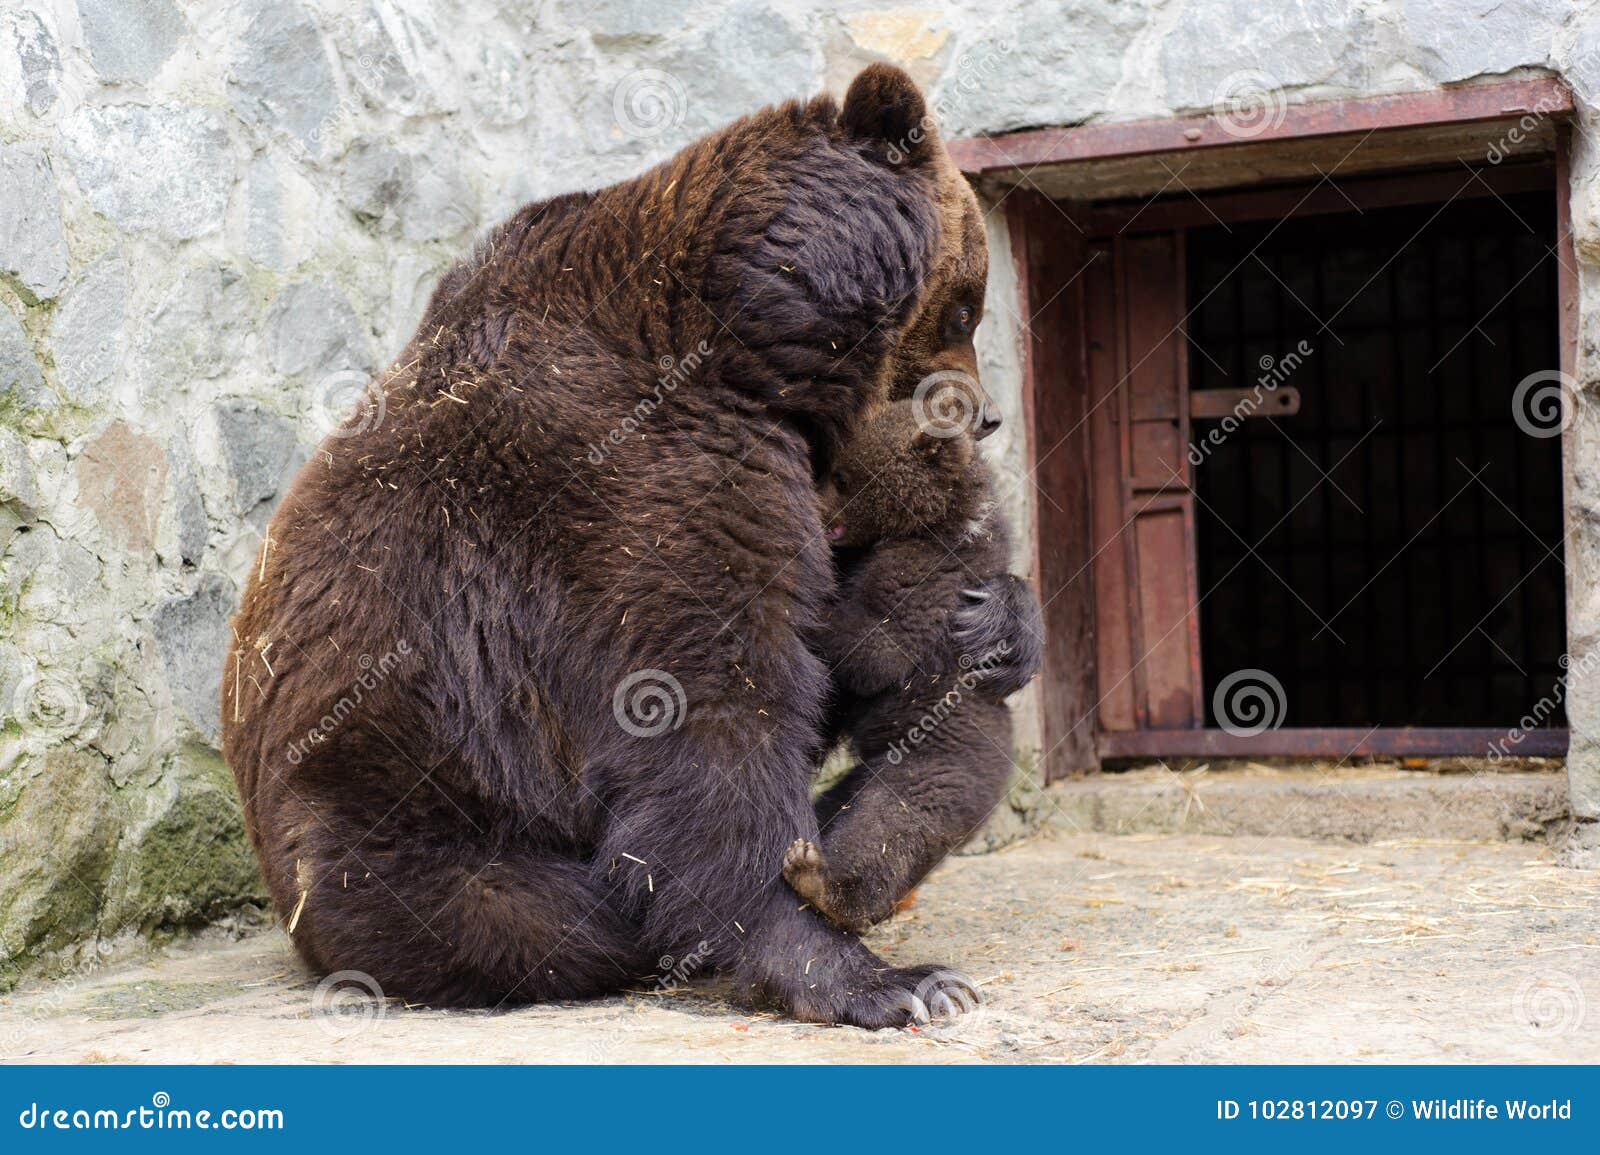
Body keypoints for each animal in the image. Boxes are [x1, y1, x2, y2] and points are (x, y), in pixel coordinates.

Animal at [222, 63, 1024, 1023]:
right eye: (969, 302)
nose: (988, 415)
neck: (740, 339)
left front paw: (995, 620)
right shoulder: (625, 482)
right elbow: (708, 710)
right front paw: (879, 977)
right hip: (396, 807)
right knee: (535, 915)